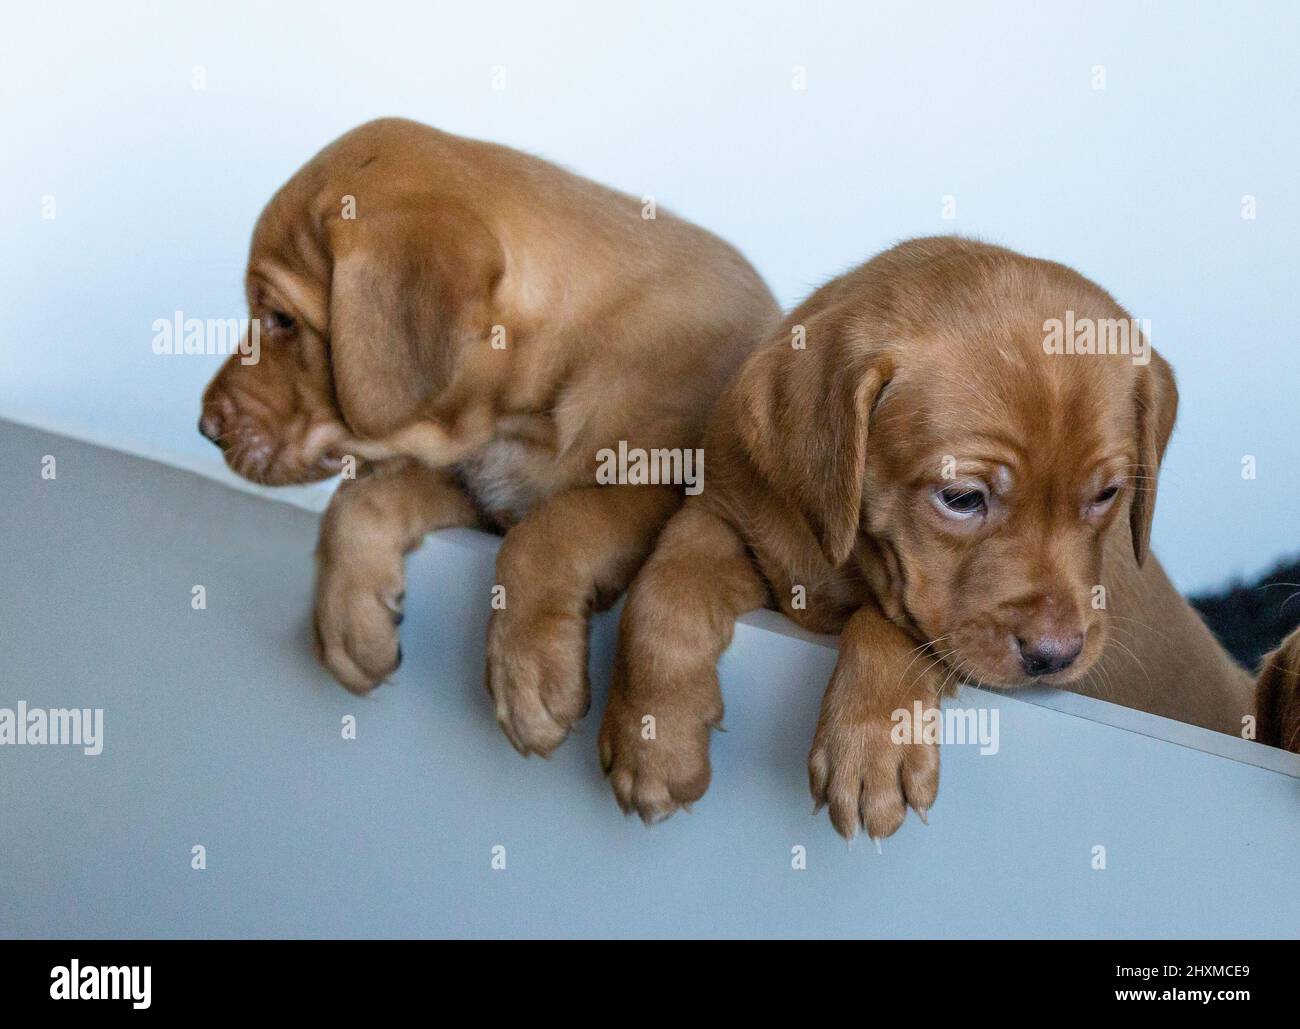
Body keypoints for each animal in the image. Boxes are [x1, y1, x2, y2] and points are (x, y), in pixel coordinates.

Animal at [197, 118, 774, 753]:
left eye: (280, 319)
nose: (206, 429)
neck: (518, 421)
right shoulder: (482, 488)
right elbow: (364, 497)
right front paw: (350, 621)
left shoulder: (664, 486)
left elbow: (558, 523)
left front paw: (528, 672)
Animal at [598, 237, 1258, 841]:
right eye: (962, 498)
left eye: (1107, 495)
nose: (1054, 656)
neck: (845, 559)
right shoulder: (730, 513)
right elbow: (667, 583)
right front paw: (653, 738)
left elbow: (892, 624)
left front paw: (872, 746)